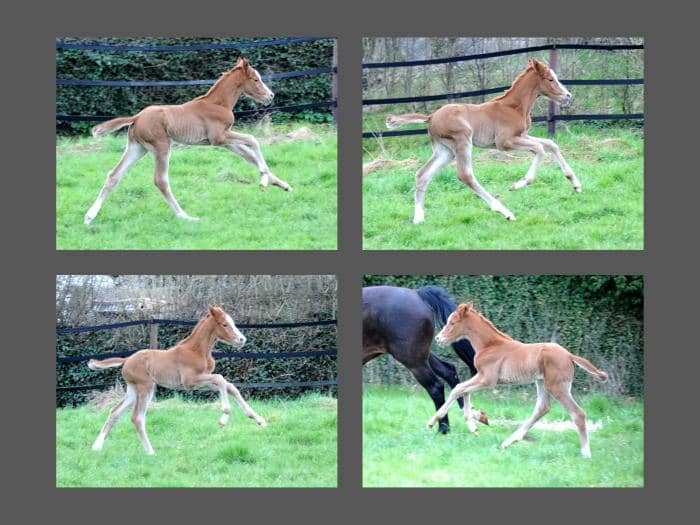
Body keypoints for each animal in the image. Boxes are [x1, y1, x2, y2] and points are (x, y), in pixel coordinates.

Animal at [85, 56, 292, 224]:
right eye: (256, 79)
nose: (270, 95)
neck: (218, 103)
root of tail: (136, 117)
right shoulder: (219, 137)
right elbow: (252, 140)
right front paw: (264, 179)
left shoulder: (225, 141)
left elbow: (249, 156)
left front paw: (284, 185)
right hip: (162, 146)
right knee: (160, 180)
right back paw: (185, 216)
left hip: (137, 148)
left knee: (114, 175)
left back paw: (89, 216)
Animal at [85, 304, 266, 452]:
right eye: (225, 324)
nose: (242, 339)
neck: (197, 350)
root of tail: (127, 359)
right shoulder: (190, 382)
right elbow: (221, 379)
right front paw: (224, 418)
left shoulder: (202, 381)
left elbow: (230, 387)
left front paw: (259, 420)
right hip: (146, 387)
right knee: (137, 417)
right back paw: (150, 452)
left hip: (132, 390)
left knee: (115, 412)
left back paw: (97, 446)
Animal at [360, 284, 486, 432]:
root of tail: (417, 293)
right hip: (422, 355)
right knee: (449, 372)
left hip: (413, 359)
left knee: (436, 386)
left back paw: (443, 428)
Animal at [388, 59, 580, 223]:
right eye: (550, 79)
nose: (568, 95)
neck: (514, 107)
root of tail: (431, 117)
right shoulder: (505, 142)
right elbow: (540, 148)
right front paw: (519, 184)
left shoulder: (522, 136)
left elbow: (550, 144)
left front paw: (575, 184)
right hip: (462, 140)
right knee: (465, 175)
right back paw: (505, 211)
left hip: (445, 151)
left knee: (423, 174)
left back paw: (418, 218)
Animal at [426, 300, 608, 456]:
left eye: (452, 322)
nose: (438, 338)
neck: (490, 345)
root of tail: (570, 355)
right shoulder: (481, 376)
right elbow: (463, 390)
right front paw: (474, 426)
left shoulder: (488, 380)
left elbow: (458, 388)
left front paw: (434, 420)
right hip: (541, 383)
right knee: (543, 408)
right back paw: (509, 441)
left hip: (557, 387)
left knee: (578, 413)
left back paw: (586, 452)